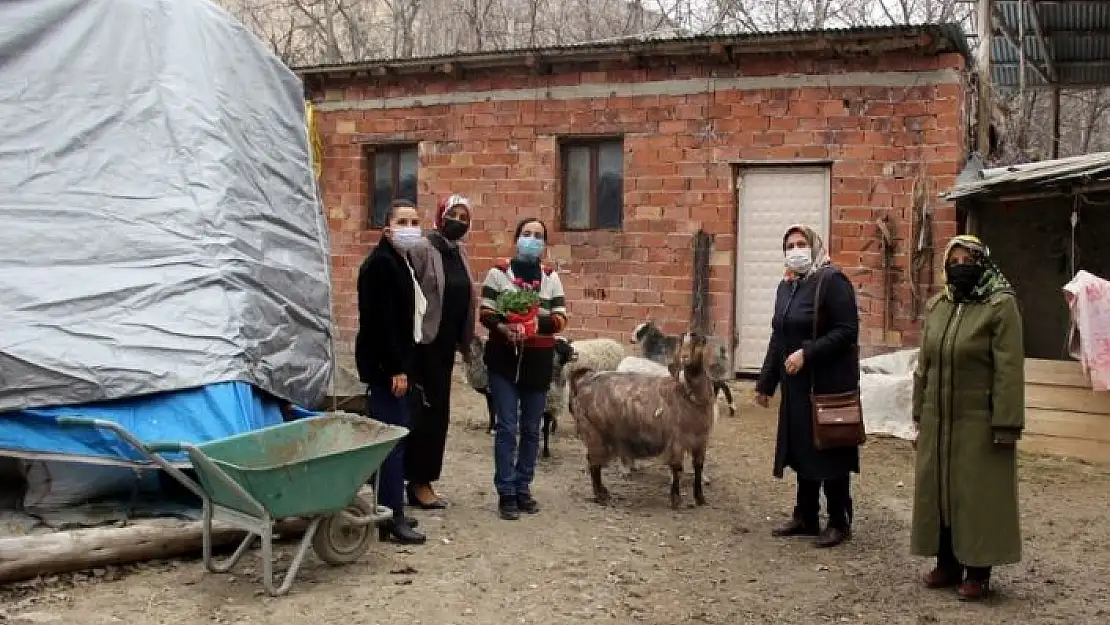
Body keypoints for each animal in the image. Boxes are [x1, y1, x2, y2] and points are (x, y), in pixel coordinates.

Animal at [568, 333, 714, 508]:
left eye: (698, 342)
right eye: (679, 343)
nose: (685, 357)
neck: (686, 394)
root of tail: (582, 384)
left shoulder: (701, 441)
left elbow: (698, 467)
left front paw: (700, 498)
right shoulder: (676, 441)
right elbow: (677, 468)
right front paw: (676, 500)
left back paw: (603, 493)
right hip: (593, 433)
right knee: (594, 464)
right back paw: (601, 496)